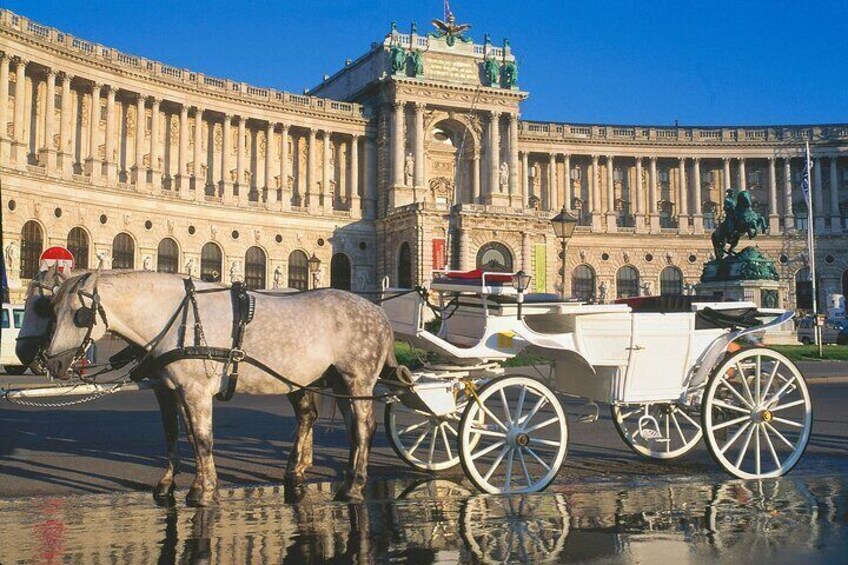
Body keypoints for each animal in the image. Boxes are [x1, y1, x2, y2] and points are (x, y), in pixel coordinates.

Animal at [18, 270, 404, 504]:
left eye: (77, 315)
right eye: (51, 309)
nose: (50, 363)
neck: (174, 316)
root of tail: (380, 313)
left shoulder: (196, 389)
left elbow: (202, 439)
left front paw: (202, 490)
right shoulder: (169, 388)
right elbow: (176, 434)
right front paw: (168, 483)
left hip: (357, 377)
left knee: (364, 428)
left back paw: (354, 485)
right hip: (328, 380)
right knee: (336, 423)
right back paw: (317, 475)